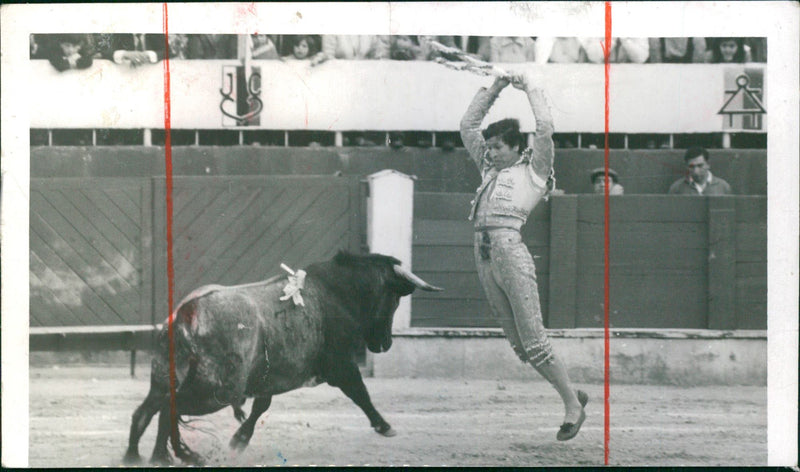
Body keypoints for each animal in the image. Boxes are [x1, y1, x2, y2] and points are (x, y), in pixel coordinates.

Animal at [123, 251, 444, 464]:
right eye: (394, 299)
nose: (385, 344)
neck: (335, 293)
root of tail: (185, 314)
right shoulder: (341, 366)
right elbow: (360, 393)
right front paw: (384, 426)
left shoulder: (269, 376)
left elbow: (260, 407)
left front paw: (238, 440)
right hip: (217, 391)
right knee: (168, 409)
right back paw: (169, 456)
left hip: (164, 378)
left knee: (146, 411)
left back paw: (140, 456)